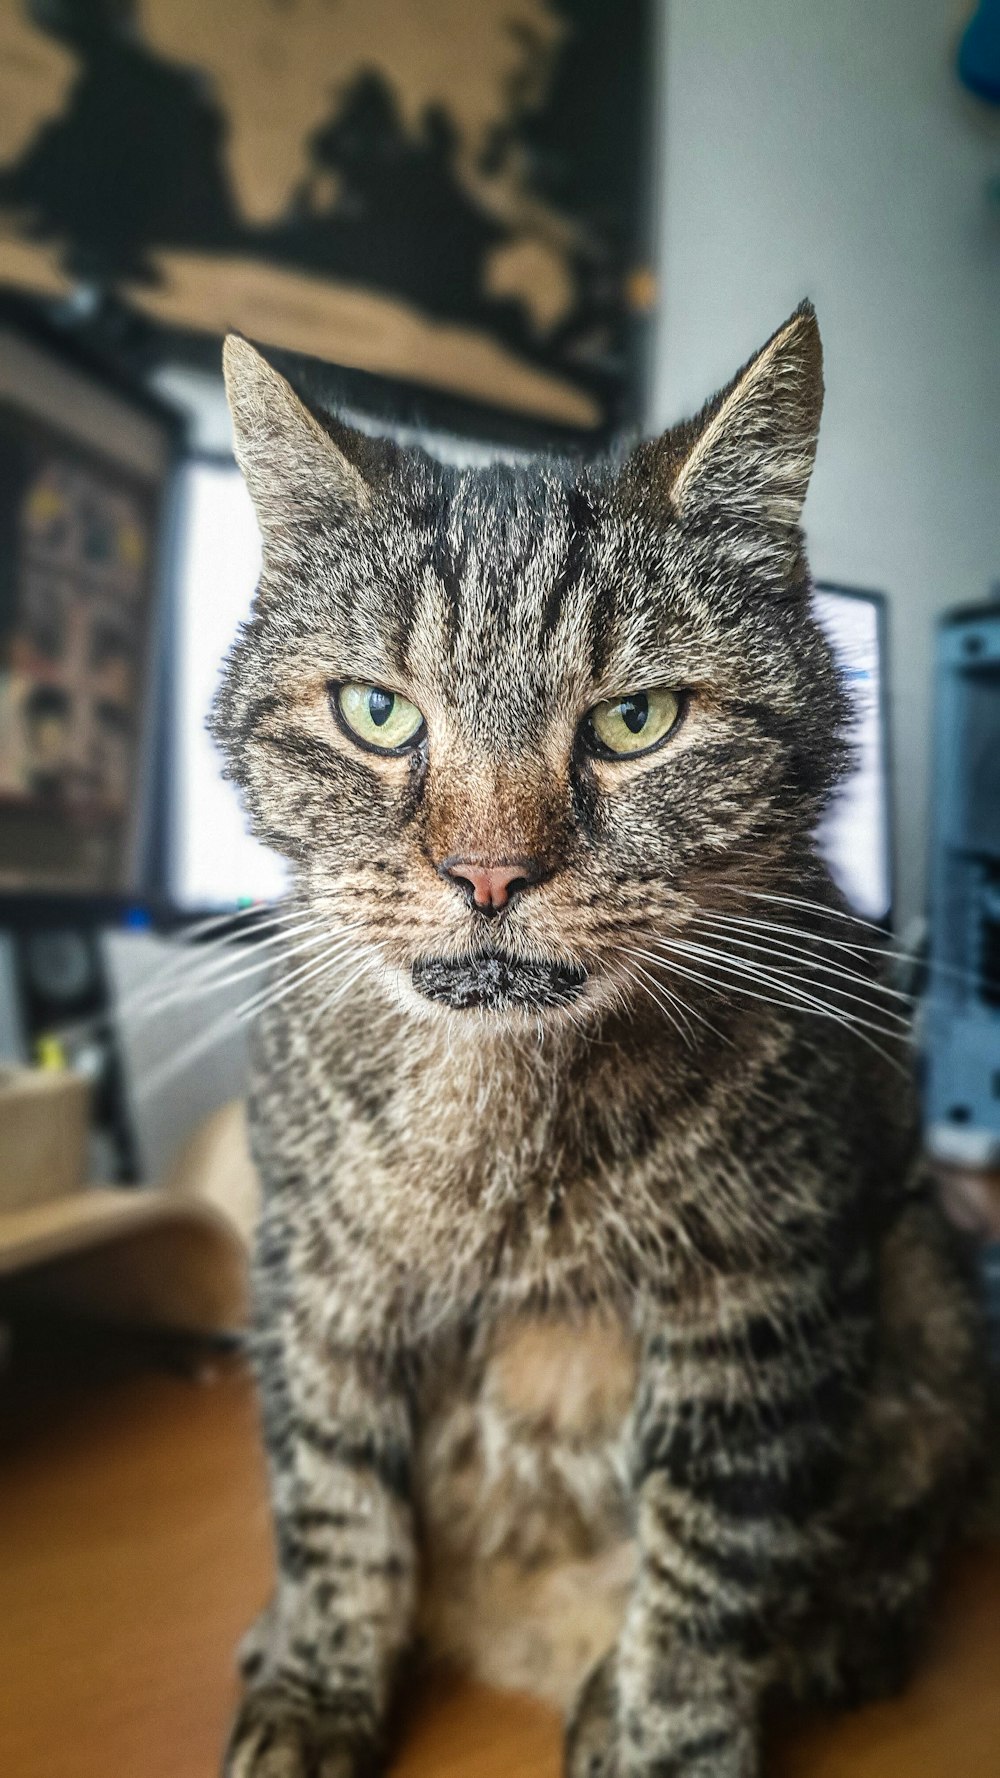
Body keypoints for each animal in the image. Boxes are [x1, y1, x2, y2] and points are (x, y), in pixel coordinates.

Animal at [211, 305, 982, 1778]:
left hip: (930, 1279)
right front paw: (318, 1686)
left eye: (636, 721)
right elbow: (332, 1503)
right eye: (377, 712)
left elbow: (707, 1575)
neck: (501, 1120)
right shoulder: (310, 1273)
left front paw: (667, 1733)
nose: (487, 872)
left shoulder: (762, 1298)